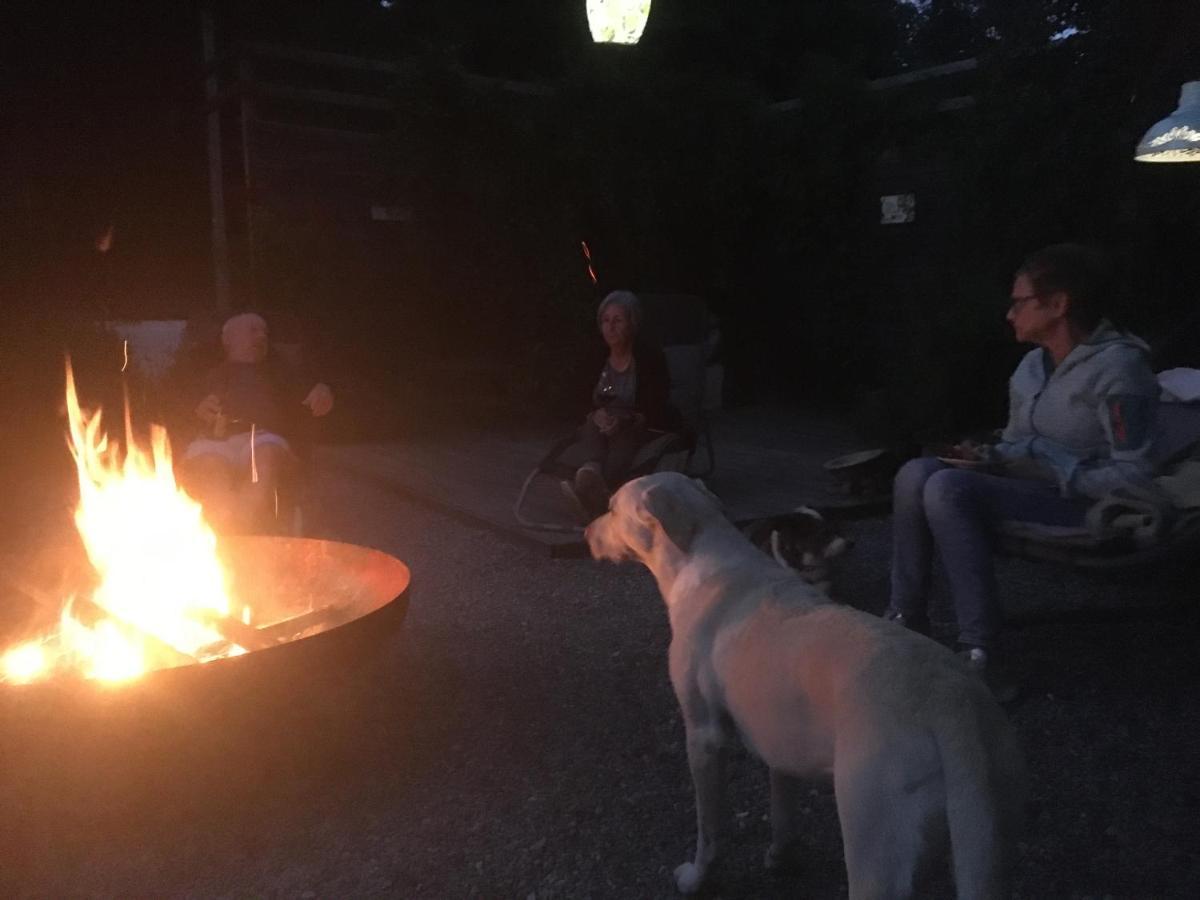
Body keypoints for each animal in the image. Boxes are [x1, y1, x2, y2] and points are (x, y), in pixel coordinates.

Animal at [585, 475, 1027, 897]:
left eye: (611, 508)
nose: (586, 533)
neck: (703, 554)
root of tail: (952, 708)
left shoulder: (704, 738)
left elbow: (709, 829)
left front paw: (697, 879)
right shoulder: (780, 744)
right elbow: (783, 814)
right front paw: (781, 858)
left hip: (876, 847)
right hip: (993, 833)